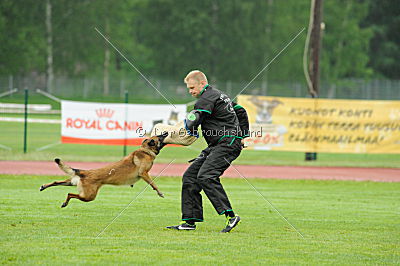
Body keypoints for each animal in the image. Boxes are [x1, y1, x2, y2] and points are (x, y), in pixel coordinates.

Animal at [38, 133, 167, 208]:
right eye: (159, 136)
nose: (166, 132)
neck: (146, 150)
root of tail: (84, 172)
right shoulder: (144, 173)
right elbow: (153, 184)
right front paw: (159, 192)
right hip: (89, 196)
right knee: (70, 194)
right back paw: (65, 202)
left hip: (71, 183)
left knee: (56, 182)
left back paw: (44, 187)